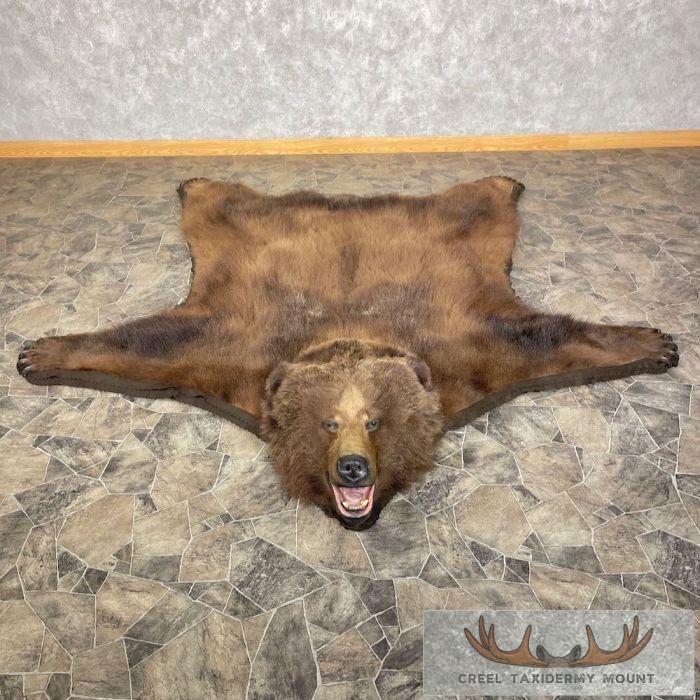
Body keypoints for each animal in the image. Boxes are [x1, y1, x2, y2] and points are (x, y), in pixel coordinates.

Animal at [17, 176, 678, 529]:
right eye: (327, 423)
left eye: (377, 422)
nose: (353, 469)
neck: (344, 330)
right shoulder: (228, 348)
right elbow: (146, 341)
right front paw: (41, 351)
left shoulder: (470, 348)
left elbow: (545, 336)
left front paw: (654, 341)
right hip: (236, 228)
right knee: (217, 200)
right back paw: (193, 182)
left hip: (468, 228)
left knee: (481, 200)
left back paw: (505, 182)